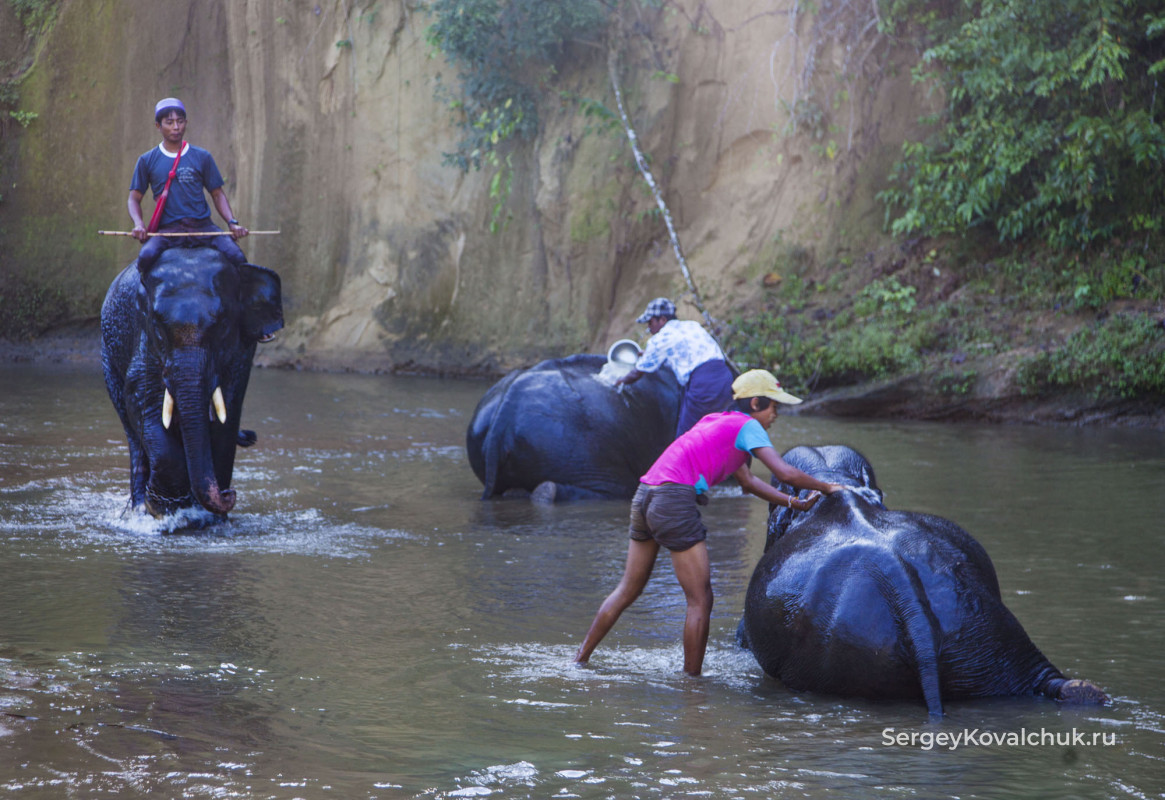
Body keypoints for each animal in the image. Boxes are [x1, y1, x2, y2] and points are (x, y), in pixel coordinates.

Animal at [100, 247, 283, 518]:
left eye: (223, 325)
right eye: (157, 325)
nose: (230, 494)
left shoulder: (239, 353)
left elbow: (227, 411)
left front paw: (208, 518)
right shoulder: (145, 344)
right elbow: (141, 398)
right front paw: (163, 508)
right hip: (109, 359)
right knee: (132, 432)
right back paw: (139, 511)